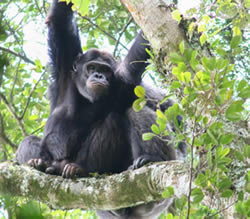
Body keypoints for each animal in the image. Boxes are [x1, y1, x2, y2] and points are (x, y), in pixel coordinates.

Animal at [14, 0, 186, 218]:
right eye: (92, 67)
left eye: (105, 70)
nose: (98, 76)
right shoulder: (64, 64)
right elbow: (59, 19)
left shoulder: (121, 83)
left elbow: (133, 67)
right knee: (28, 142)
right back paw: (41, 165)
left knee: (126, 115)